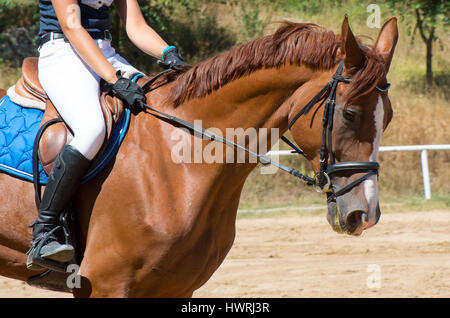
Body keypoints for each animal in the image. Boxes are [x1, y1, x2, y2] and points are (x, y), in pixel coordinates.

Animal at [0, 16, 396, 296]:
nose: (366, 215)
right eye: (350, 114)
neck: (180, 163)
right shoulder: (106, 283)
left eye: (388, 117)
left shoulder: (175, 287)